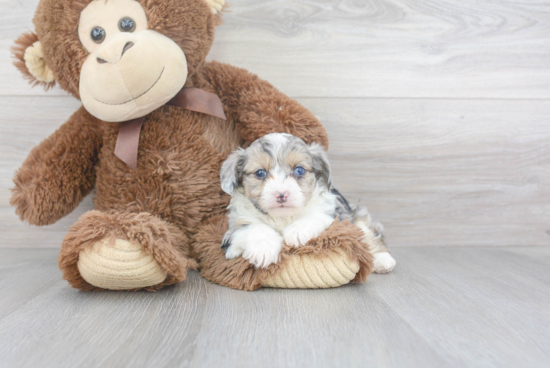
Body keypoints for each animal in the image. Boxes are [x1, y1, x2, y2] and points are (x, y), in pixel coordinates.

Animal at [220, 133, 396, 274]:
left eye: (299, 170)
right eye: (260, 173)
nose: (281, 194)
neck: (282, 218)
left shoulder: (333, 214)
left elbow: (314, 217)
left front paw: (297, 231)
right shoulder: (237, 223)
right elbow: (254, 227)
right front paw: (263, 248)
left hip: (357, 217)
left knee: (368, 235)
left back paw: (382, 259)